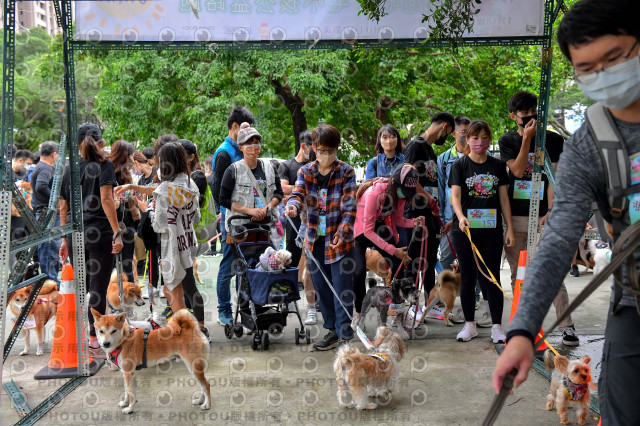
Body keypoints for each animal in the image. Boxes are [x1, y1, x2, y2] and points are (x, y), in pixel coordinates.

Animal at [222, 213, 310, 350]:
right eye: (287, 258)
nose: (289, 261)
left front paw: (302, 333)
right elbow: (253, 319)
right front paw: (258, 339)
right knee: (246, 315)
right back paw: (235, 328)